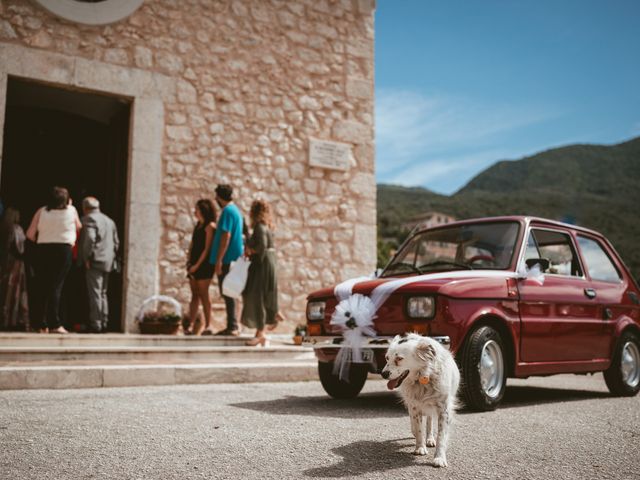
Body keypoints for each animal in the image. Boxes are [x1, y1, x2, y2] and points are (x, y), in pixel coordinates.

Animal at [380, 334, 460, 468]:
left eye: (399, 358)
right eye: (387, 358)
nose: (383, 374)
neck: (424, 376)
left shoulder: (444, 410)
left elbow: (441, 435)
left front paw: (439, 458)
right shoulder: (414, 406)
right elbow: (418, 429)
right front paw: (420, 448)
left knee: (429, 420)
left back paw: (430, 439)